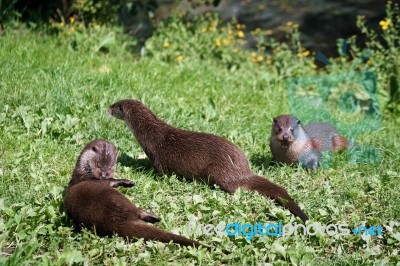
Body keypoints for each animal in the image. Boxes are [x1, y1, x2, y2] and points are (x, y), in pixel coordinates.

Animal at [64, 140, 205, 248]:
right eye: (98, 165)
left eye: (110, 166)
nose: (104, 174)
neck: (82, 174)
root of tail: (117, 222)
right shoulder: (100, 181)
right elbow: (111, 181)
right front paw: (127, 182)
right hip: (116, 198)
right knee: (138, 211)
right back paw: (154, 217)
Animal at [108, 98, 308, 221]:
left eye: (115, 105)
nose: (108, 107)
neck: (150, 132)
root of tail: (243, 169)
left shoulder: (156, 155)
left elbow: (161, 171)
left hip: (217, 172)